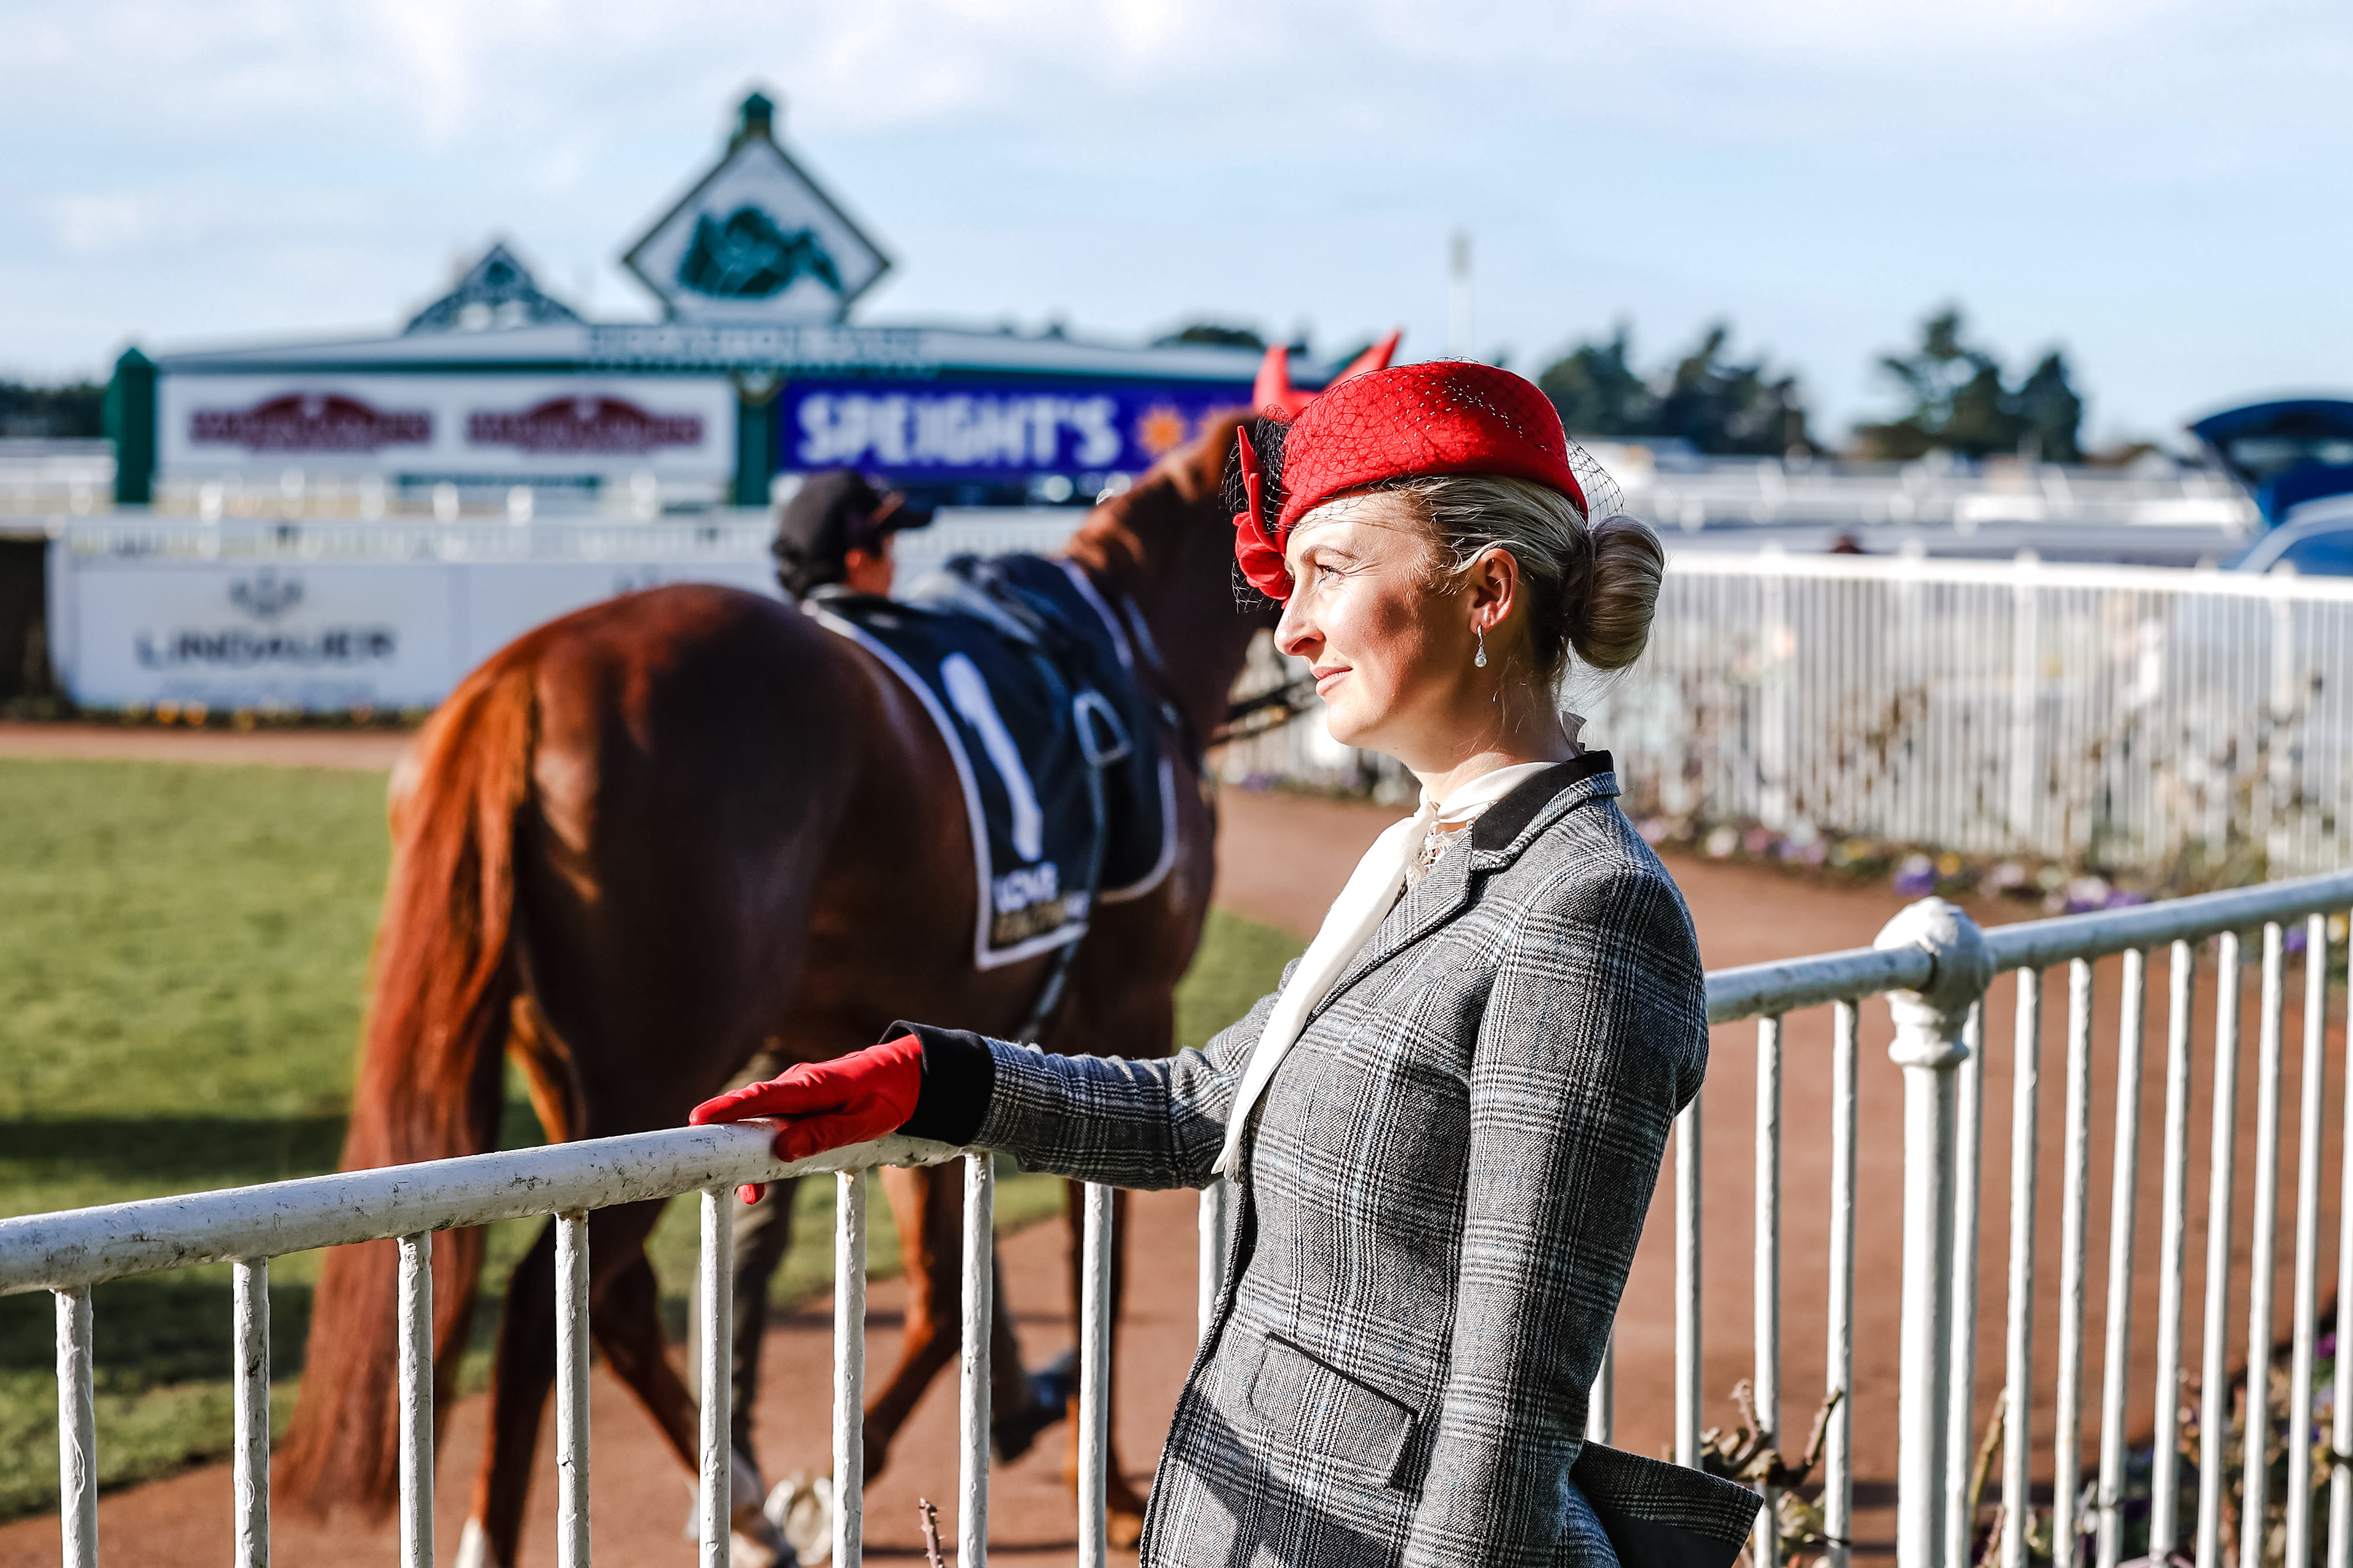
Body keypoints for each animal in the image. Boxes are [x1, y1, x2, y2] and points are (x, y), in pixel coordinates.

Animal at [280, 419, 1271, 1563]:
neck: (1127, 653)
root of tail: (519, 678)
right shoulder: (1128, 1007)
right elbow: (1089, 1254)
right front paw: (1091, 1475)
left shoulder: (922, 1041)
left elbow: (947, 1285)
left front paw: (876, 1462)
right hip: (653, 1071)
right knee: (545, 1302)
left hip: (578, 1084)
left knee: (617, 1301)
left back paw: (747, 1504)